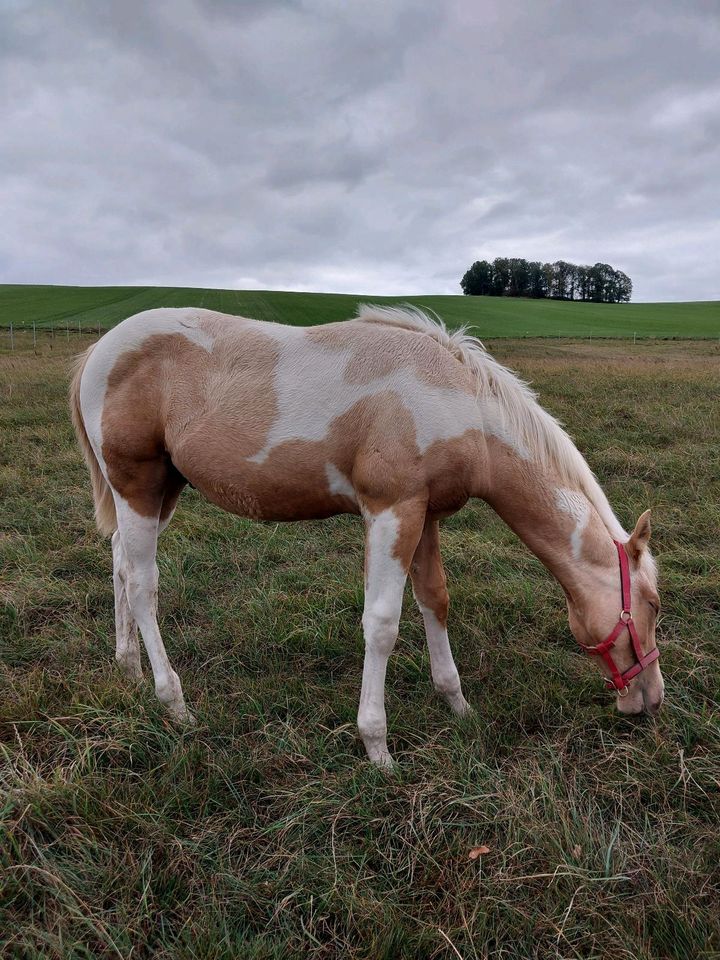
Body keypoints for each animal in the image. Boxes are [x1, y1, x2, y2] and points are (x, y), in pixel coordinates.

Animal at [69, 304, 664, 768]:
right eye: (655, 605)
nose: (652, 700)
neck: (456, 398)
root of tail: (99, 349)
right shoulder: (390, 512)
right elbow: (381, 623)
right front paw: (377, 747)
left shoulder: (425, 515)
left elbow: (435, 600)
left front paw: (457, 705)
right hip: (138, 485)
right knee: (143, 584)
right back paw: (173, 702)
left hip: (161, 491)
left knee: (120, 563)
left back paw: (129, 670)